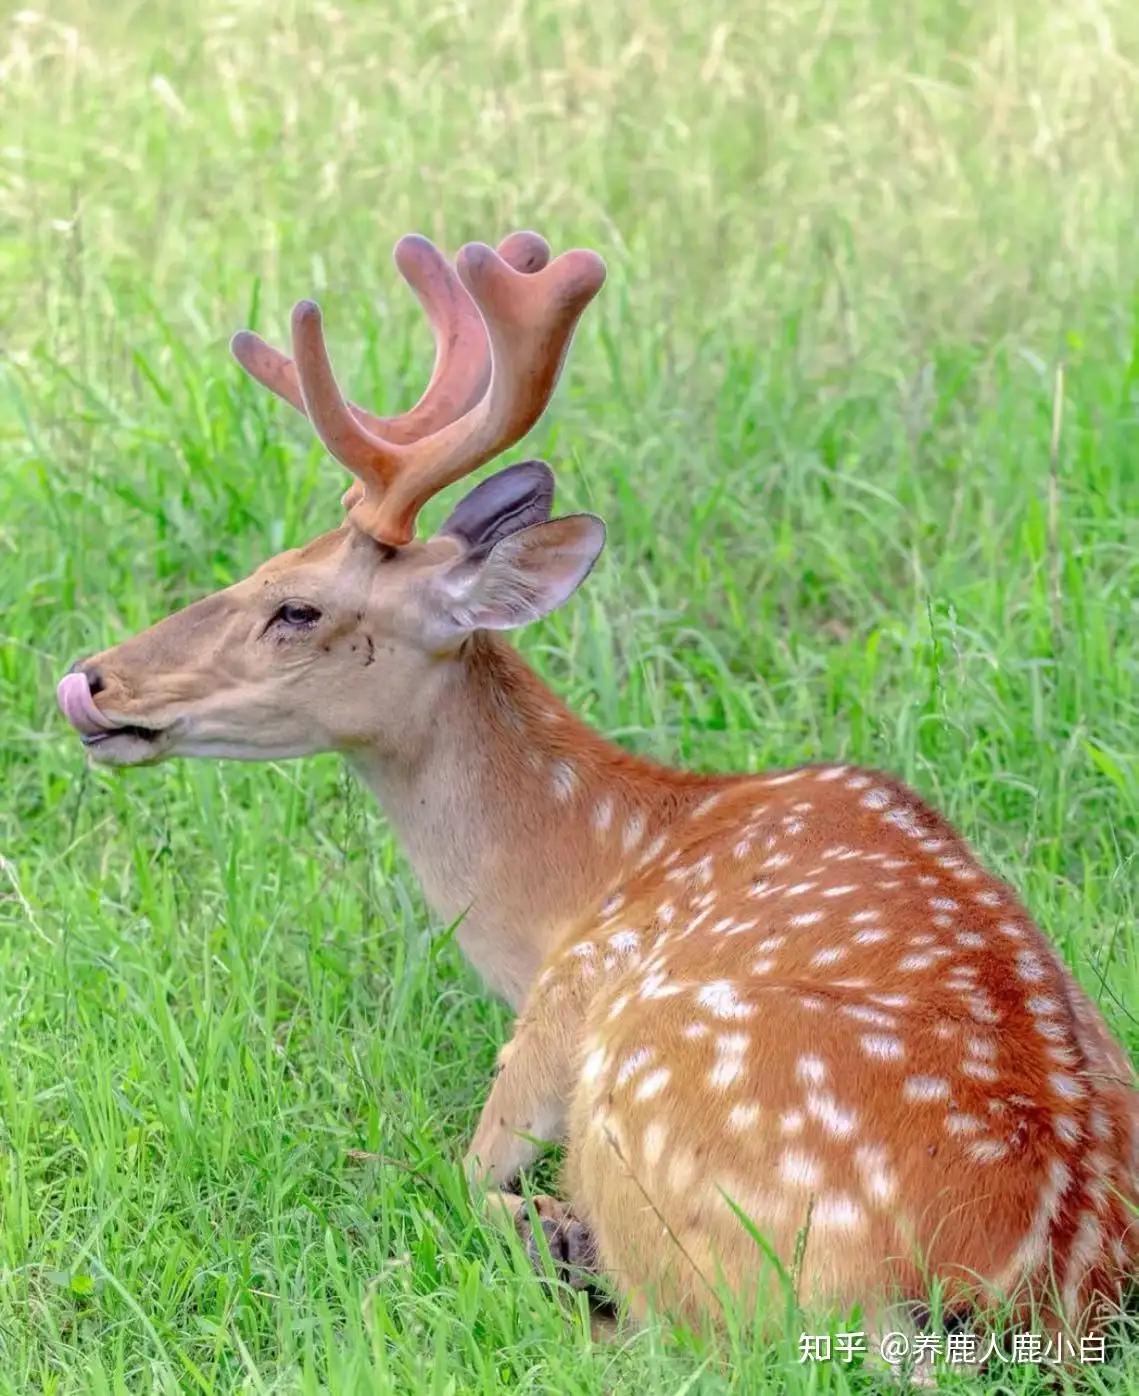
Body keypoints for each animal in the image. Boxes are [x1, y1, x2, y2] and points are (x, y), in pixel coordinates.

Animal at [60, 226, 1139, 1351]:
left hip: (651, 1122)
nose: (93, 681)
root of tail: (1012, 1293)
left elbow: (455, 1169)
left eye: (296, 607)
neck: (581, 880)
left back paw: (555, 1242)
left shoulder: (553, 1022)